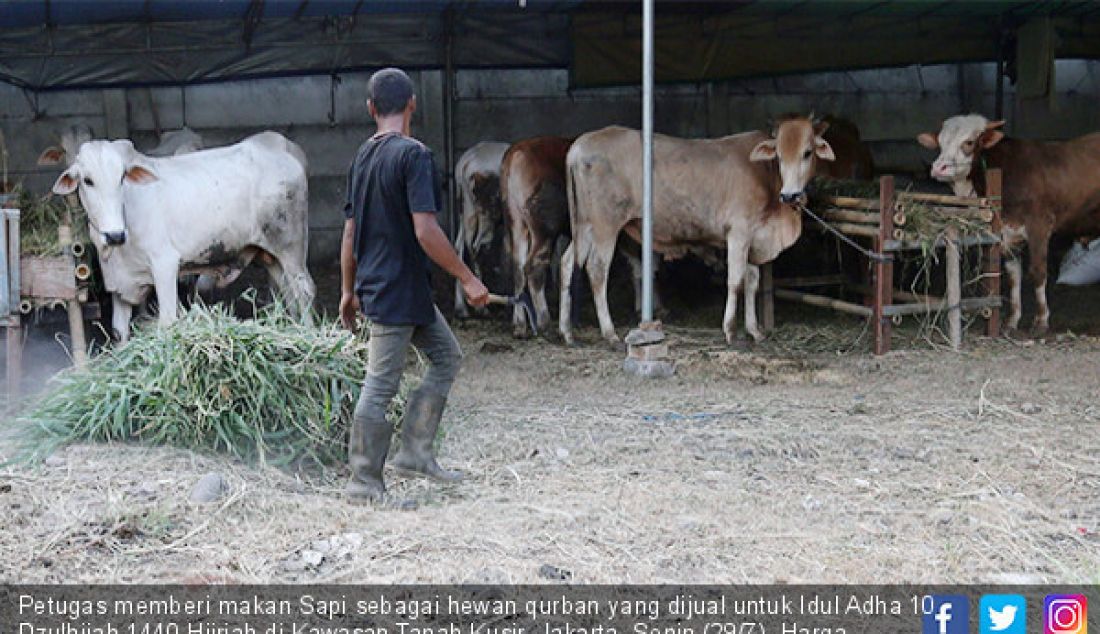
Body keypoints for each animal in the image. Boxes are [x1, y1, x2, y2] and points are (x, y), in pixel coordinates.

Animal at [51, 130, 314, 339]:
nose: (115, 235)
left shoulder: (165, 264)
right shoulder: (120, 284)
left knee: (305, 291)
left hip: (292, 247)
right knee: (288, 292)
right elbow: (119, 330)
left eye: (122, 177)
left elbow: (168, 320)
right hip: (270, 255)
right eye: (88, 180)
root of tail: (284, 153)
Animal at [563, 118, 836, 347]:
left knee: (567, 264)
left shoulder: (753, 238)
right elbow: (735, 281)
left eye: (807, 153)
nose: (790, 195)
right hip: (605, 225)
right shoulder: (739, 232)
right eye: (778, 155)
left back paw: (567, 332)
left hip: (584, 225)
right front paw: (730, 331)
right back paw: (609, 333)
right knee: (597, 269)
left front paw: (755, 331)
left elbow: (752, 282)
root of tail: (579, 146)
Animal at [915, 114, 1100, 334]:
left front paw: (1041, 320)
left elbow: (1038, 272)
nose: (938, 168)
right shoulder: (1008, 234)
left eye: (969, 142)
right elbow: (1013, 276)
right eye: (940, 143)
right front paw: (1012, 320)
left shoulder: (1039, 225)